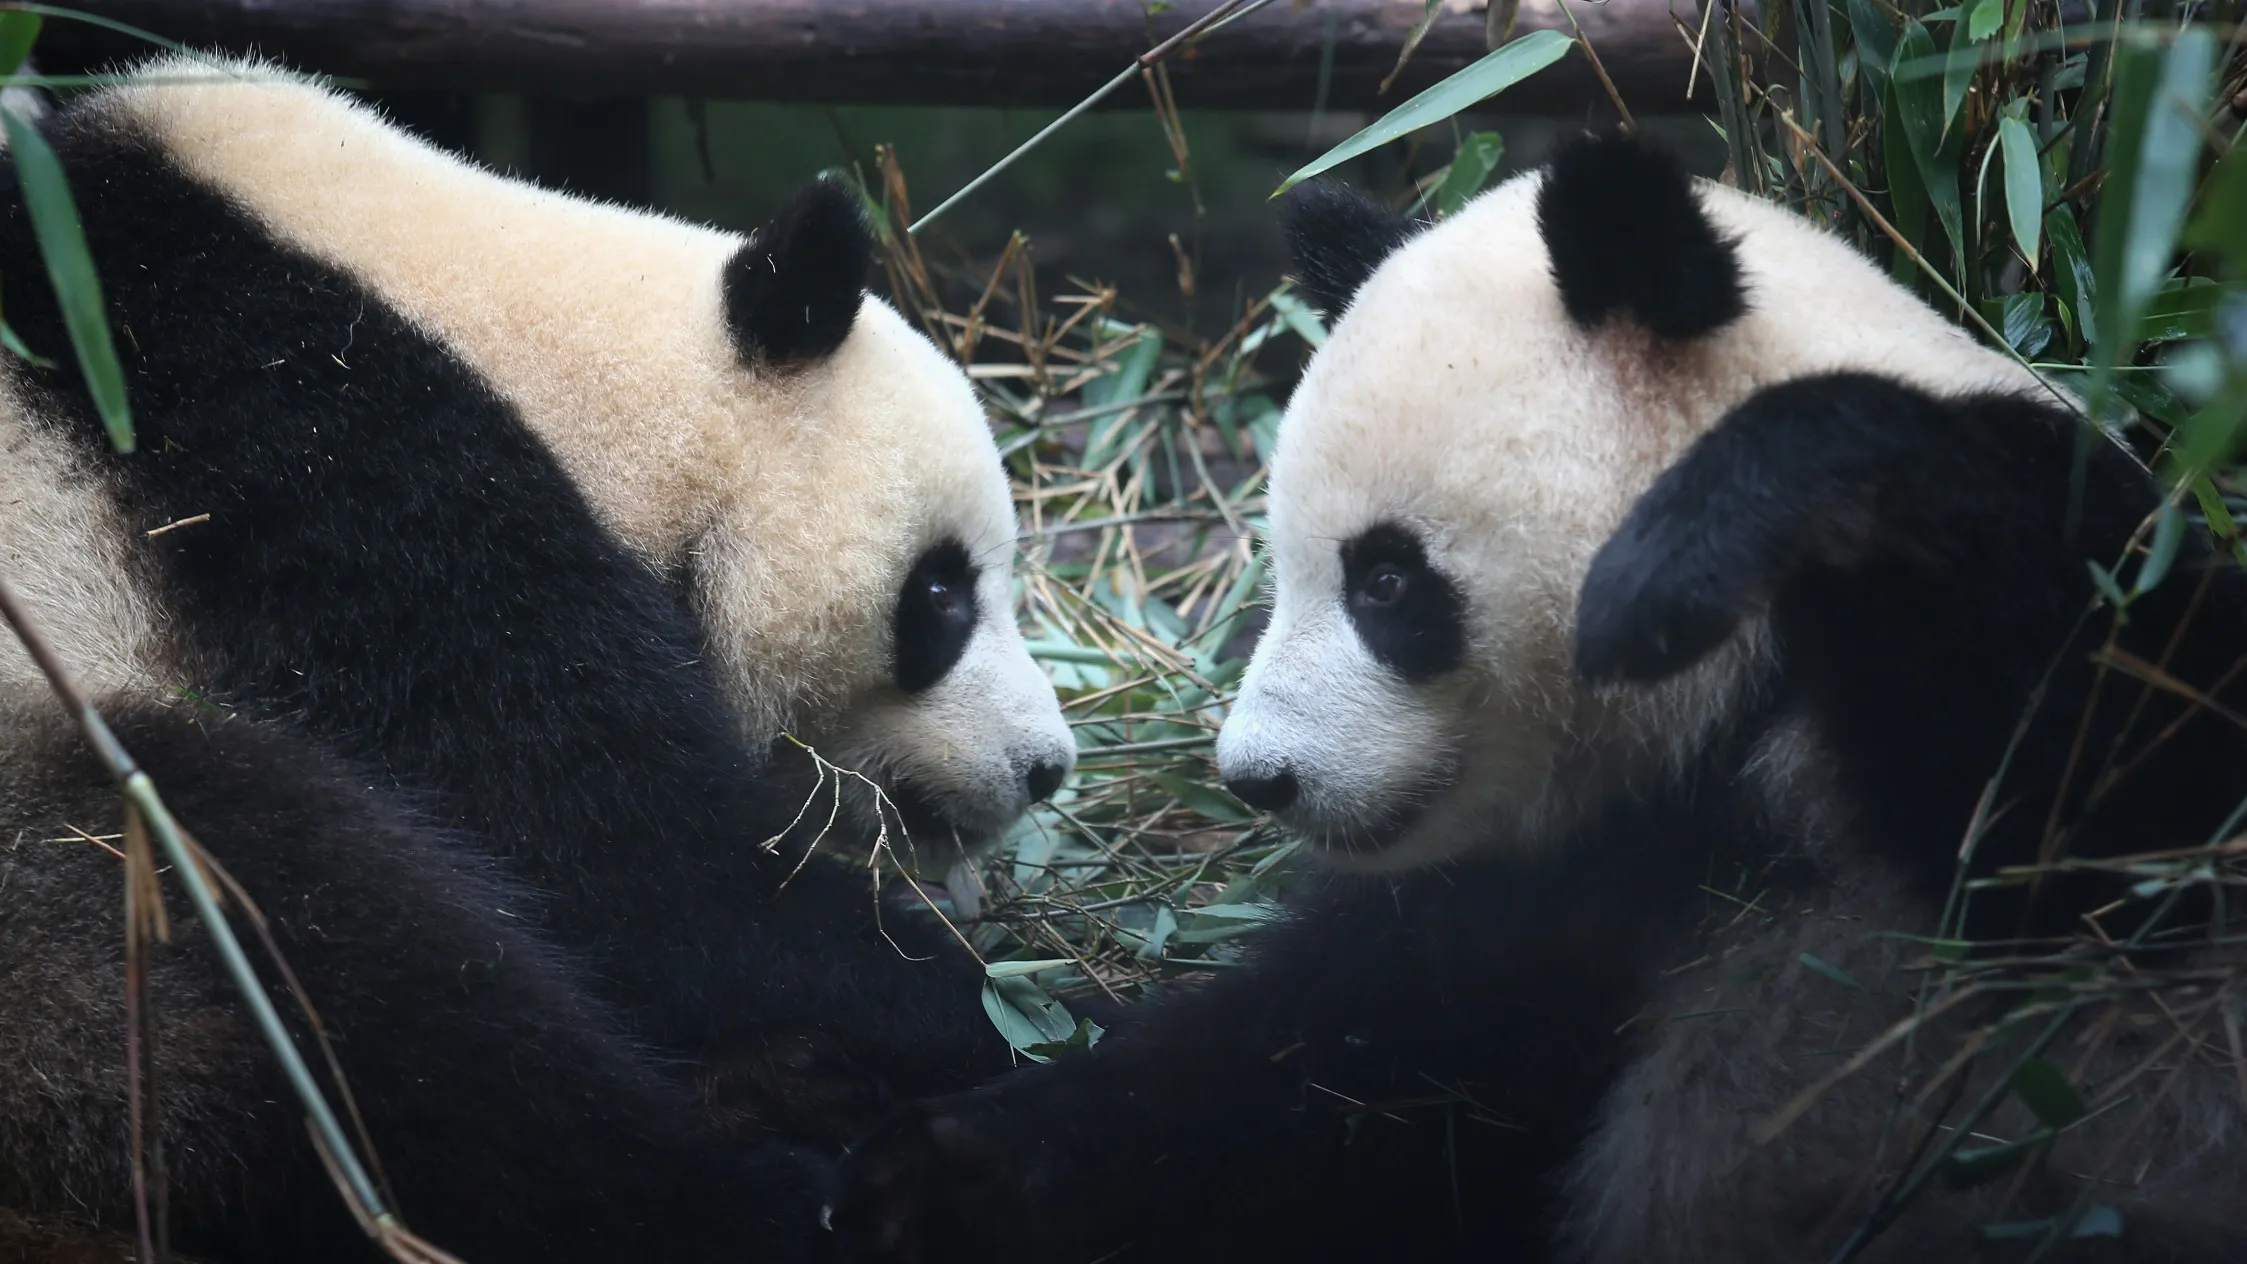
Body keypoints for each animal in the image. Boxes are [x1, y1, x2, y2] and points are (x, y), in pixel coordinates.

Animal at [0, 58, 1073, 1261]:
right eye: (940, 596)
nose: (1046, 767)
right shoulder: (322, 472)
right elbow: (631, 873)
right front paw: (976, 1005)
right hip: (61, 865)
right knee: (342, 979)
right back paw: (784, 1195)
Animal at [829, 133, 2247, 1262]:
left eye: (1387, 580)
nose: (1258, 777)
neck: (1742, 714)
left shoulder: (2070, 578)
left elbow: (2123, 819)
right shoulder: (1567, 885)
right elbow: (1336, 1073)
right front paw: (934, 1175)